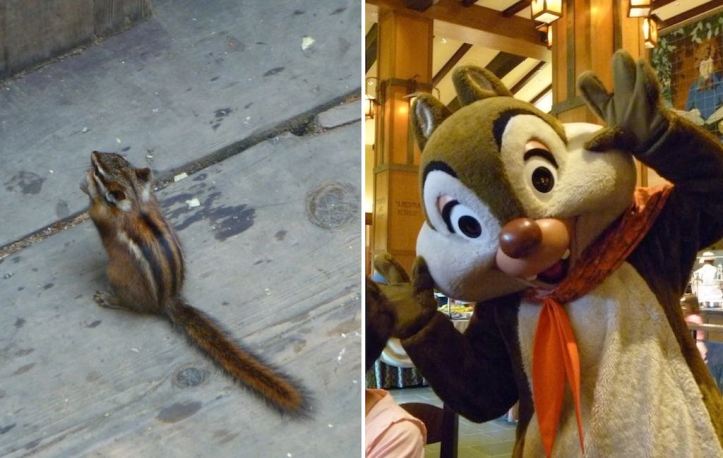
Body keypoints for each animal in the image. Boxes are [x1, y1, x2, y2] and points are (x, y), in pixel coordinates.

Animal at [80, 151, 309, 416]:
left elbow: (95, 211)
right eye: (114, 158)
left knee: (131, 305)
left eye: (100, 171)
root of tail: (167, 300)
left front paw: (87, 187)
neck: (135, 203)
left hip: (116, 274)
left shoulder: (104, 216)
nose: (93, 154)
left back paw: (109, 298)